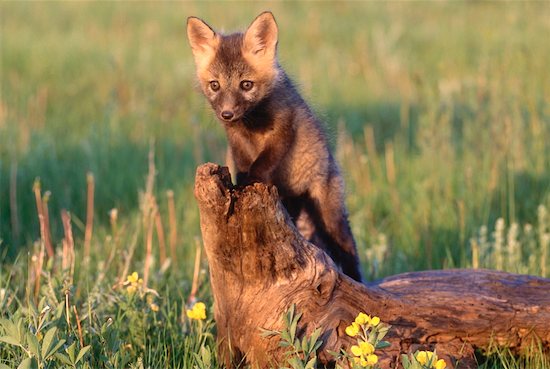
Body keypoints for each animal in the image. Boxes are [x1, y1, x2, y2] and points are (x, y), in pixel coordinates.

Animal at [188, 12, 364, 282]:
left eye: (246, 85)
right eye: (215, 85)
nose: (227, 114)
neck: (251, 125)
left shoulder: (282, 131)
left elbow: (263, 163)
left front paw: (247, 183)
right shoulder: (236, 141)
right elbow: (242, 165)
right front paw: (238, 184)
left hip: (330, 216)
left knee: (348, 249)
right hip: (292, 207)